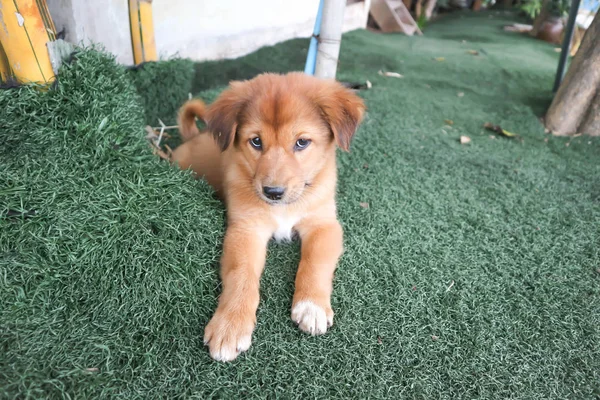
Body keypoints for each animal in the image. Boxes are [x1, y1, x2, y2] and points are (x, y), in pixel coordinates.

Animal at [170, 72, 366, 362]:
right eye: (256, 141)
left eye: (302, 142)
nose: (273, 192)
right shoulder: (246, 229)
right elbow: (241, 273)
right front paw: (230, 324)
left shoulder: (324, 224)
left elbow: (314, 262)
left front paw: (312, 306)